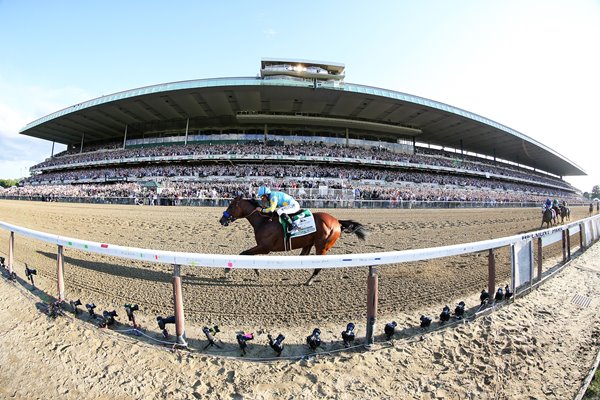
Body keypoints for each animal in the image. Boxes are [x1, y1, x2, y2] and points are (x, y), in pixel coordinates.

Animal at [219, 196, 368, 284]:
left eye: (231, 206)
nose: (222, 220)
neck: (263, 221)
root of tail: (337, 221)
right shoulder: (261, 247)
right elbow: (248, 255)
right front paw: (257, 271)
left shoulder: (265, 247)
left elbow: (243, 253)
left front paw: (227, 269)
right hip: (309, 244)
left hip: (322, 246)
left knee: (318, 266)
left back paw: (309, 281)